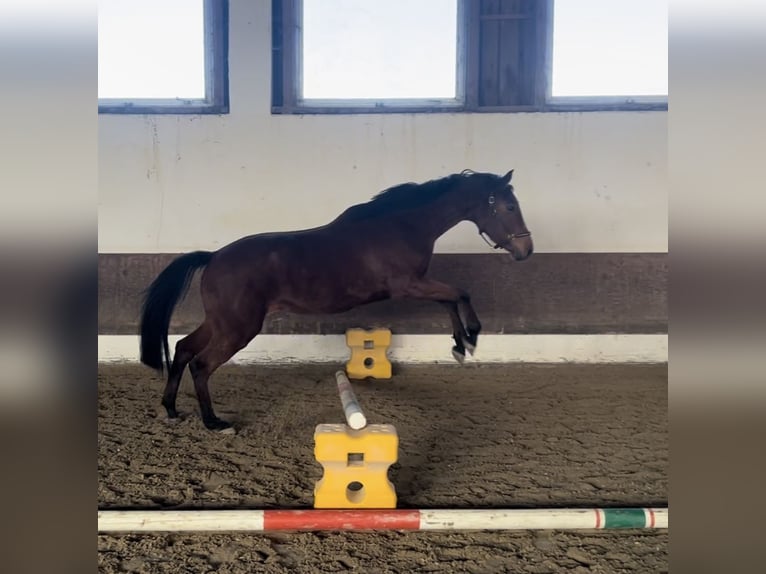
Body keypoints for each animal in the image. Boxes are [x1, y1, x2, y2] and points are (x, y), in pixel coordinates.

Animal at [139, 169, 533, 431]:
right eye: (509, 207)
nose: (525, 251)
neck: (402, 226)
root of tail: (214, 257)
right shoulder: (410, 285)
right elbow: (459, 294)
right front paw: (471, 338)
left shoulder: (417, 285)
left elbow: (452, 299)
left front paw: (460, 345)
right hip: (237, 328)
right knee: (201, 364)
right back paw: (213, 422)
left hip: (221, 323)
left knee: (183, 349)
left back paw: (170, 409)